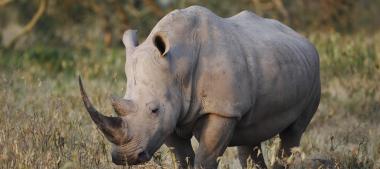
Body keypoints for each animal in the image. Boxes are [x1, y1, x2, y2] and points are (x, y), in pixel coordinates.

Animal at [78, 5, 320, 169]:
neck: (177, 66)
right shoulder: (170, 117)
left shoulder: (222, 110)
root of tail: (301, 36)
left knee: (293, 132)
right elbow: (182, 158)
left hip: (315, 73)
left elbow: (205, 158)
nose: (125, 158)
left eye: (154, 110)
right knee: (250, 137)